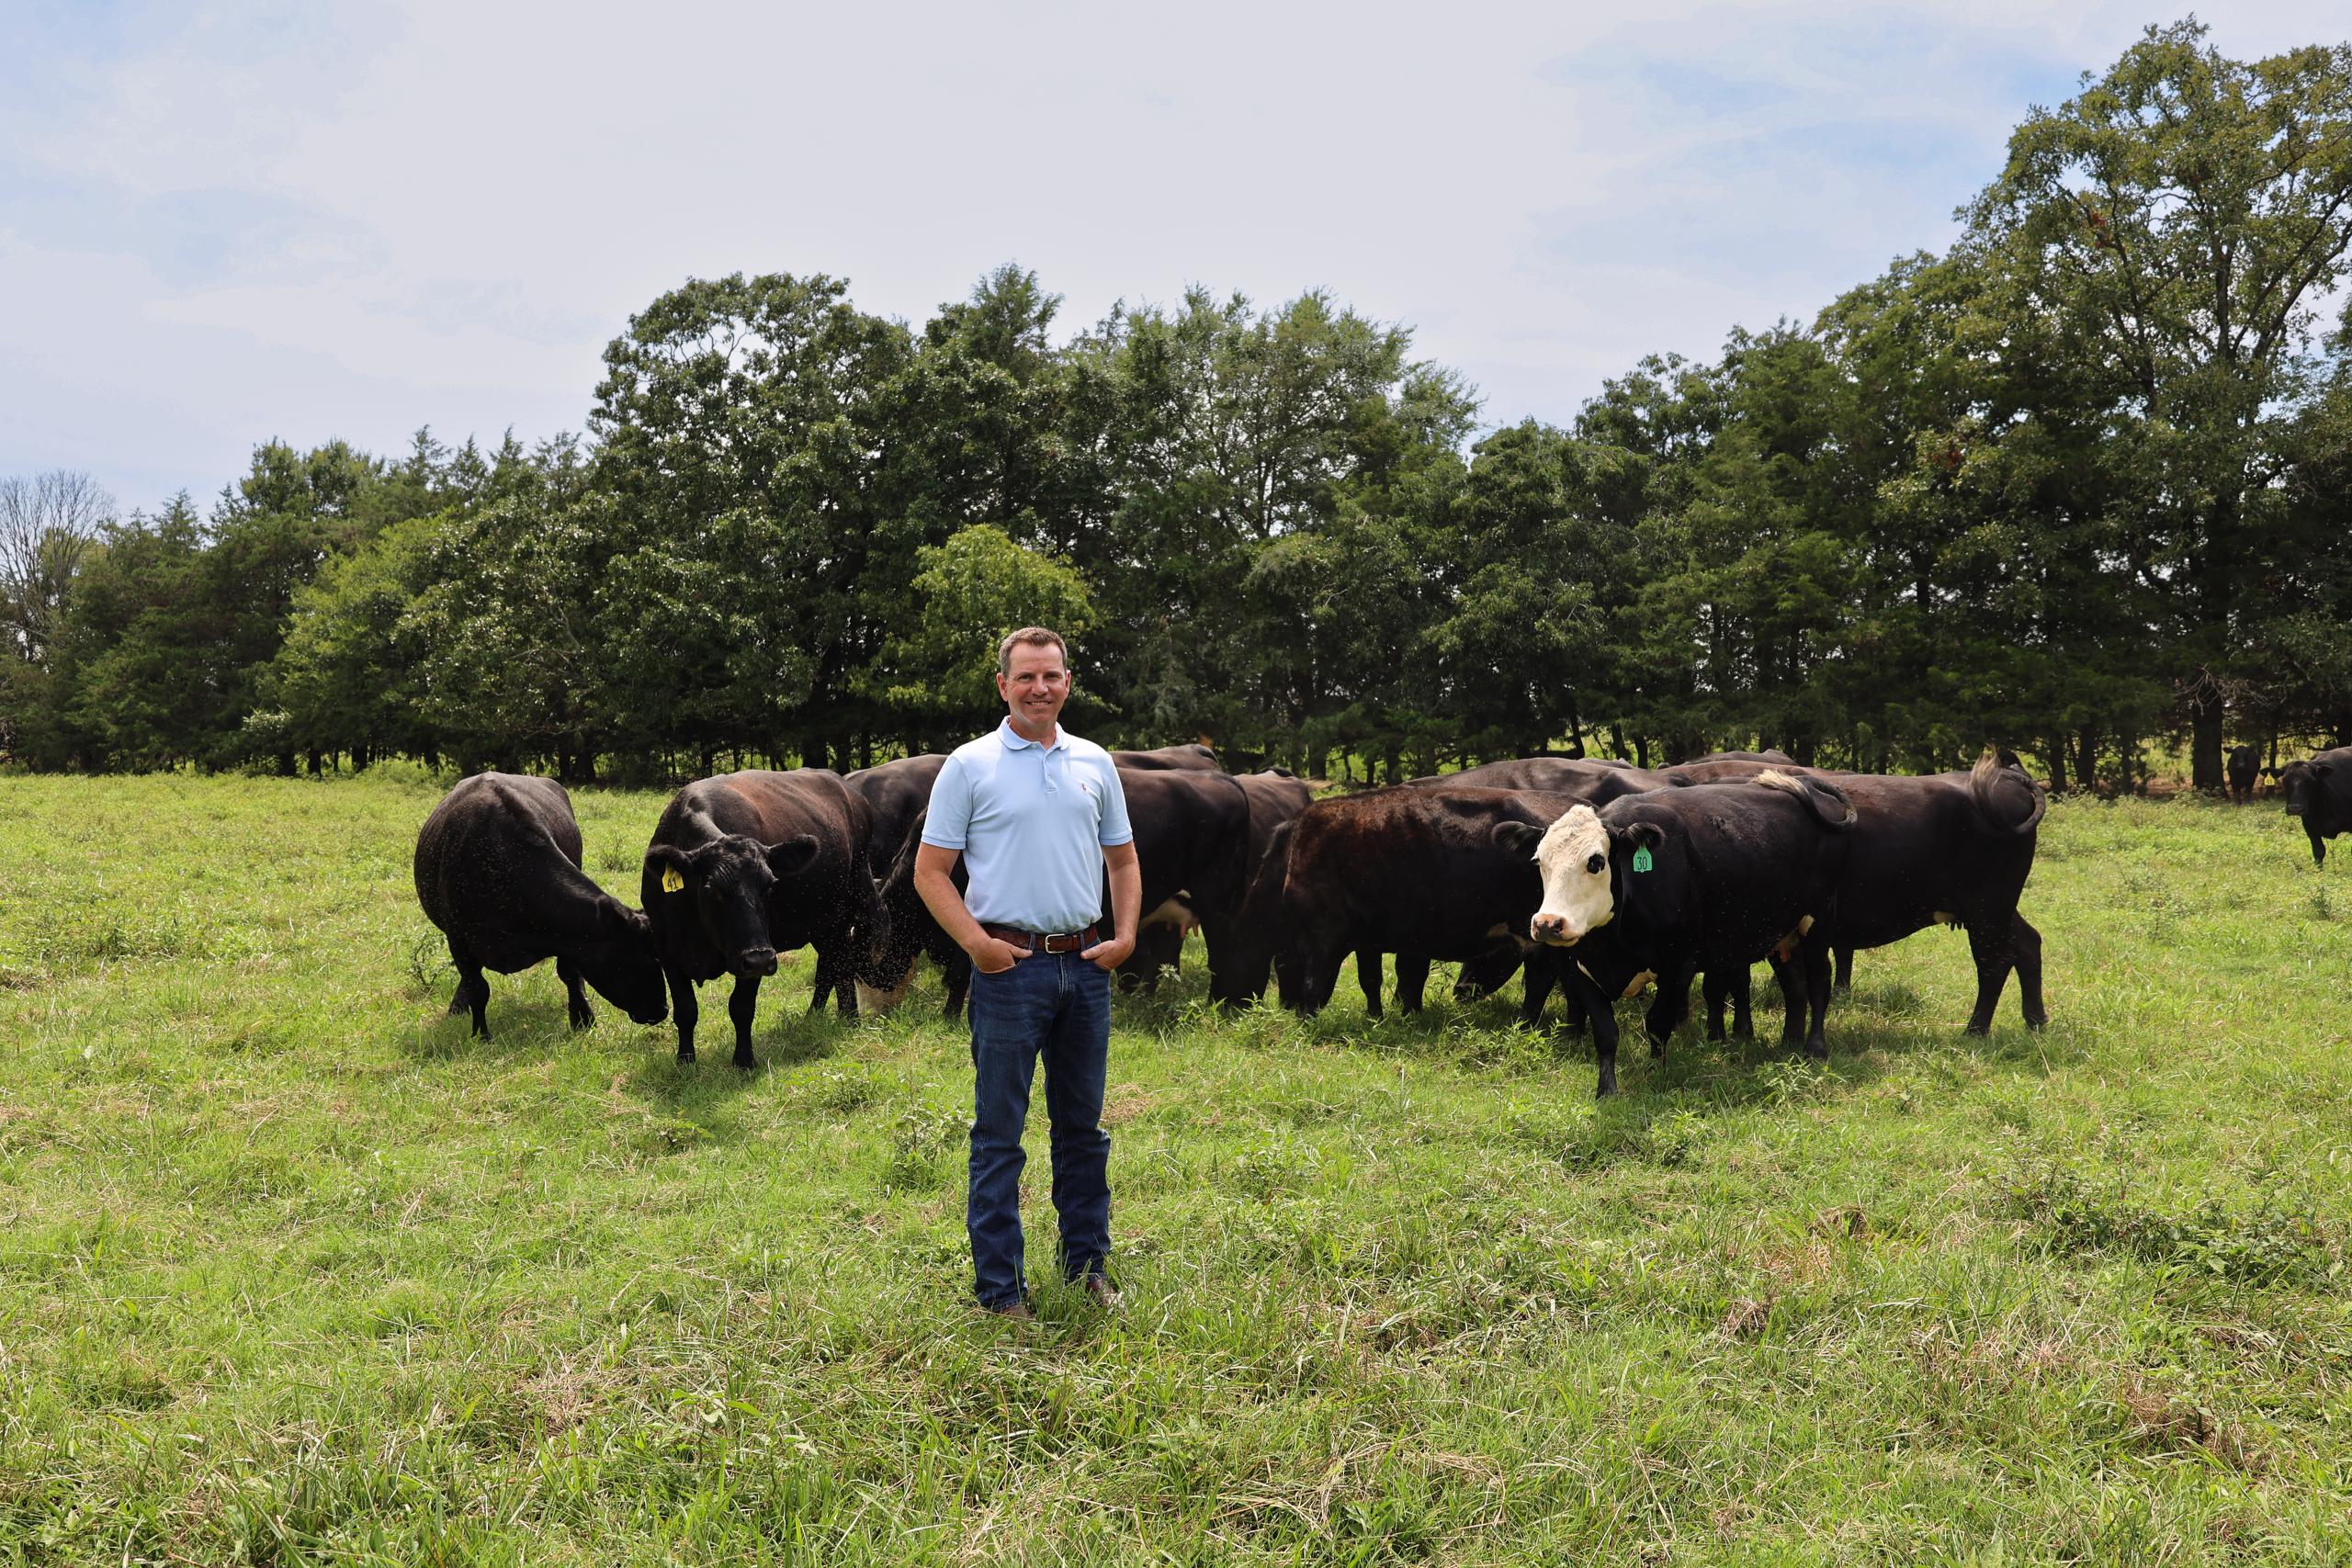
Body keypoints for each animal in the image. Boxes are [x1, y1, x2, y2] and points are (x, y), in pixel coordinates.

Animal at [413, 771, 668, 1043]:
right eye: (646, 959)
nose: (662, 1010)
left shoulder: (568, 938)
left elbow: (570, 973)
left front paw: (583, 1018)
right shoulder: (458, 939)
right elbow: (478, 988)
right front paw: (481, 1035)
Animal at [644, 771, 888, 1072]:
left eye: (770, 885)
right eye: (712, 888)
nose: (758, 959)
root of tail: (850, 791)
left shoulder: (758, 951)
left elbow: (741, 1007)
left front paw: (744, 1061)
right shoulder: (666, 948)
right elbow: (686, 1009)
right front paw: (685, 1061)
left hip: (843, 915)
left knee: (839, 964)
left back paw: (848, 1017)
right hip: (821, 924)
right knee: (830, 966)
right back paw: (817, 1017)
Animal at [1486, 775, 1853, 1100]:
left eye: (1596, 861)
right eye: (1539, 861)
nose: (1548, 923)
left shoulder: (1679, 964)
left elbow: (1658, 1023)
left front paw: (1655, 1073)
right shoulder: (1578, 969)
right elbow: (1605, 1032)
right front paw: (1606, 1090)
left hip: (1817, 921)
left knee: (1819, 981)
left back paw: (1814, 1047)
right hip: (1783, 932)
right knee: (1794, 985)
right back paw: (1789, 1042)